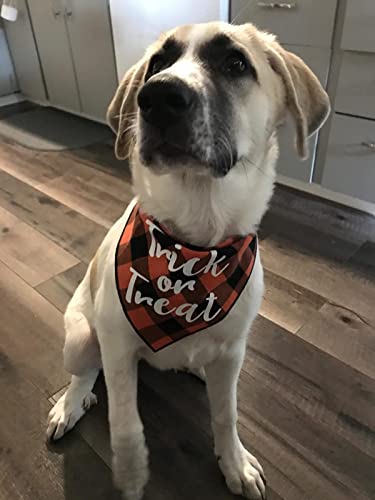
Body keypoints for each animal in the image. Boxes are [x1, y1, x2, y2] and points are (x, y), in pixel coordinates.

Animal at [46, 20, 328, 500]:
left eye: (235, 63)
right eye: (157, 62)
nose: (157, 97)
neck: (192, 251)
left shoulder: (233, 351)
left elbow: (226, 413)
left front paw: (234, 463)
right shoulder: (118, 348)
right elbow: (125, 421)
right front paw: (131, 473)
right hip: (81, 336)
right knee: (85, 371)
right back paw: (70, 403)